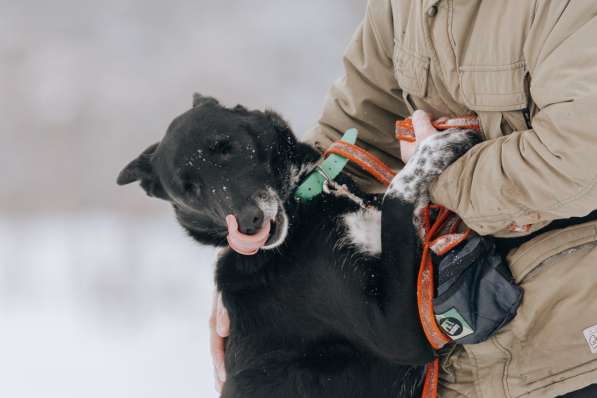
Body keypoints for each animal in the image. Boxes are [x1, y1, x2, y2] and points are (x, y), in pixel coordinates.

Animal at [117, 95, 480, 396]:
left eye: (225, 147)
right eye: (189, 189)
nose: (248, 223)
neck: (302, 206)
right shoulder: (397, 333)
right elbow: (396, 195)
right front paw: (431, 149)